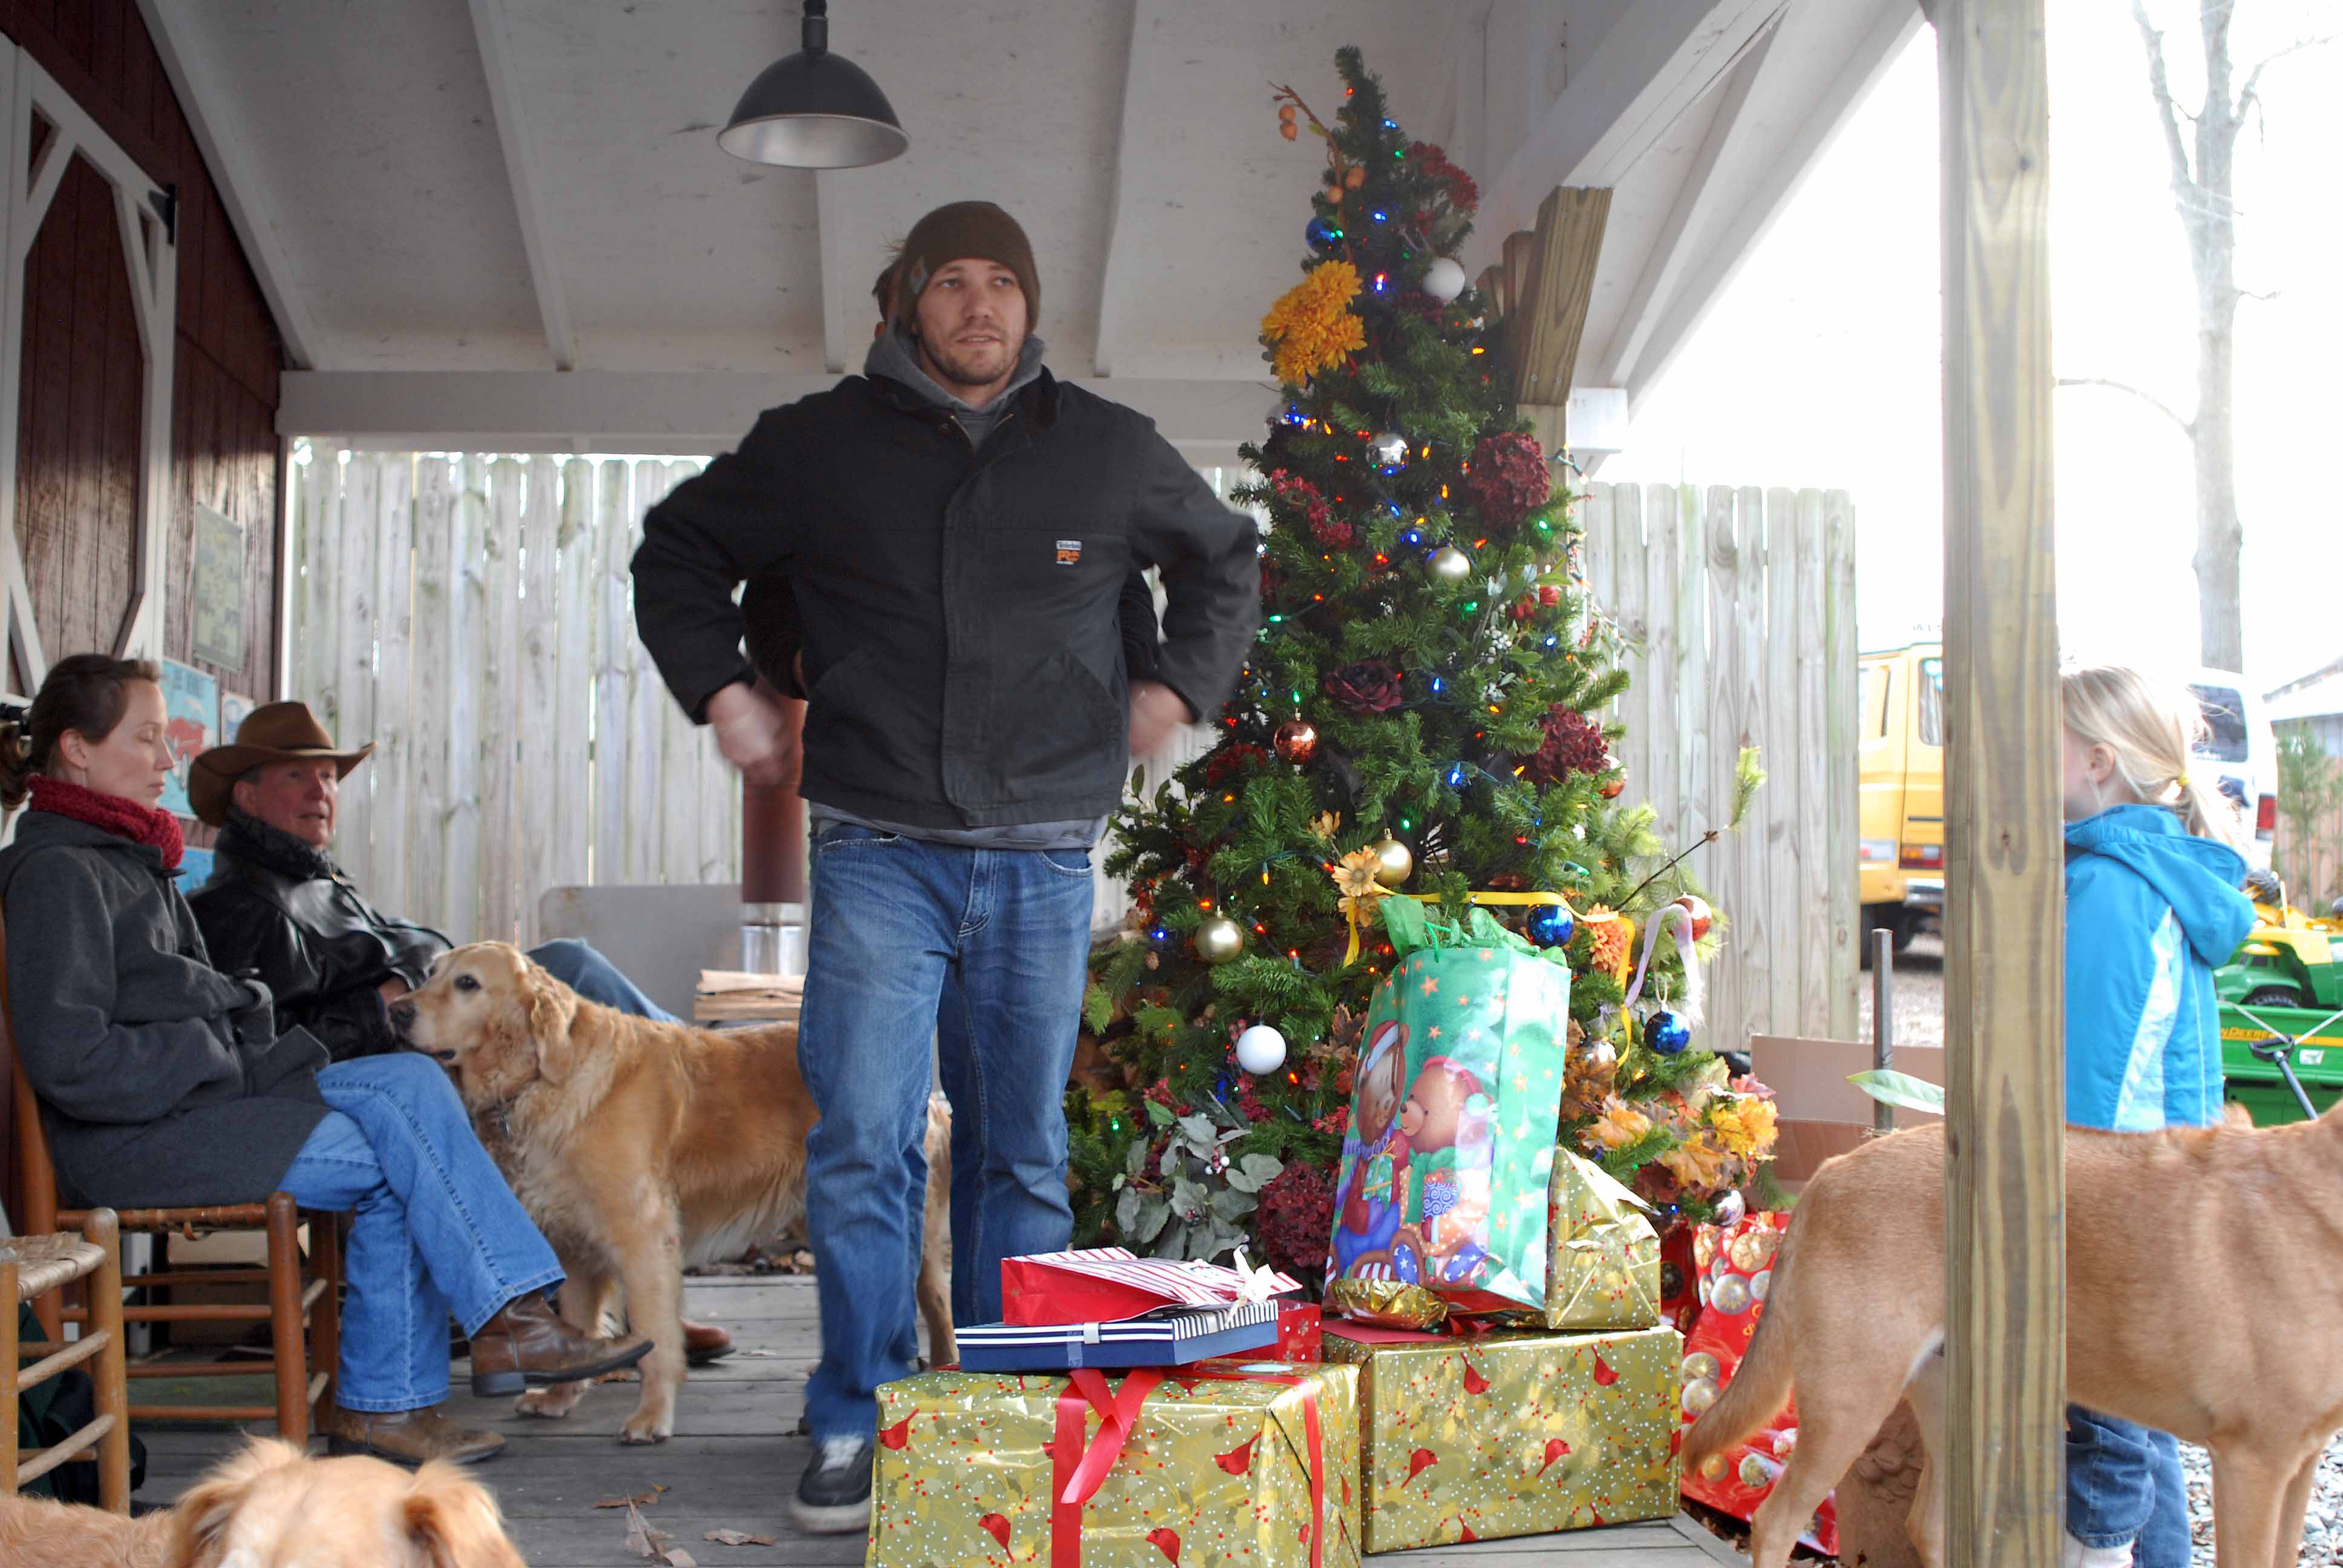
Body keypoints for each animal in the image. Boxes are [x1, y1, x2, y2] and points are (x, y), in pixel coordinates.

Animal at [398, 941, 956, 1444]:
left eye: (467, 983)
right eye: (430, 973)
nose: (397, 1010)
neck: (548, 1076)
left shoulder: (642, 1237)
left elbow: (656, 1336)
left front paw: (652, 1416)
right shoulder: (573, 1245)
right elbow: (578, 1326)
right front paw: (559, 1397)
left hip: (916, 1231)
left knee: (937, 1306)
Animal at [1682, 1112, 2343, 1568]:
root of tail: (1829, 1172)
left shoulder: (2299, 1462)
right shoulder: (2252, 1463)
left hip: (1943, 1400)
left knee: (1926, 1526)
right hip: (1851, 1402)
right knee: (1775, 1522)